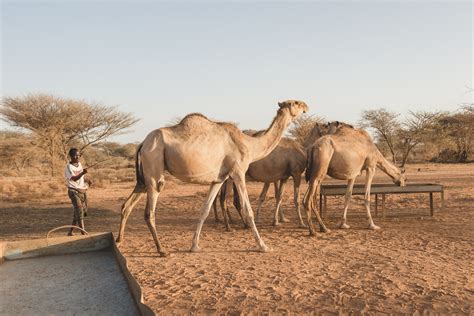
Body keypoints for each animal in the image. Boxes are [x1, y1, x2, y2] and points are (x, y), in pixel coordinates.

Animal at [115, 100, 308, 256]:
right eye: (296, 102)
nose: (306, 106)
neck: (249, 144)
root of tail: (142, 143)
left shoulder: (219, 179)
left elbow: (204, 210)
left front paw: (194, 246)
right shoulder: (238, 171)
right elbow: (248, 209)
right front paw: (263, 246)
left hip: (144, 176)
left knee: (127, 204)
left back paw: (119, 240)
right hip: (154, 164)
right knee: (150, 211)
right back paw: (161, 250)